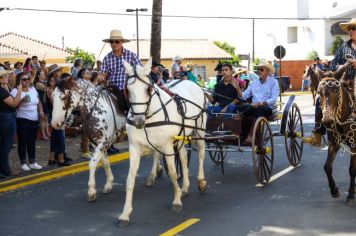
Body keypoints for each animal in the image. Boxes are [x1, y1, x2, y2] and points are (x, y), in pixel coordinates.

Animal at [119, 58, 209, 226]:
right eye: (128, 90)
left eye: (148, 89)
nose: (138, 121)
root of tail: (193, 83)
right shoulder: (134, 147)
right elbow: (130, 179)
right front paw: (125, 214)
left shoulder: (167, 145)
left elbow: (173, 173)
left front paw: (177, 201)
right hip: (181, 137)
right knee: (183, 157)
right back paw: (185, 187)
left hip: (199, 130)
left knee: (201, 153)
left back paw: (201, 181)